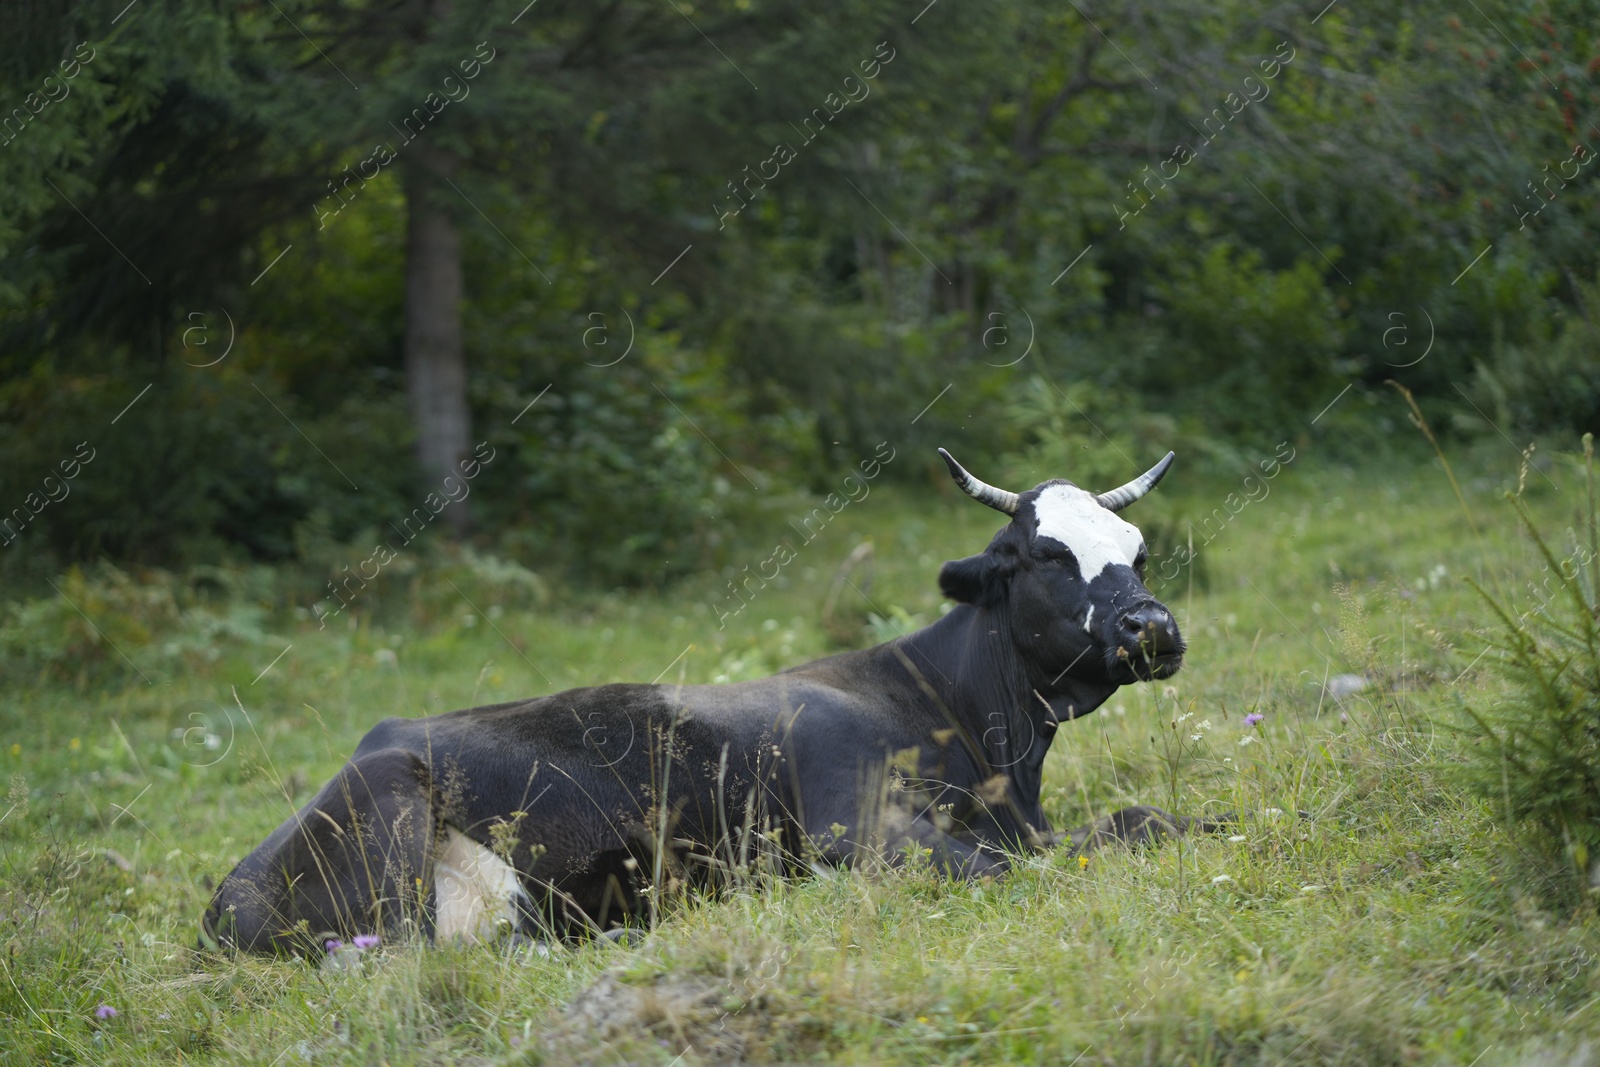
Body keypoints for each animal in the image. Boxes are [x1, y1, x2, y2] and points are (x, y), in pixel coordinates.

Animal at [206, 447, 1216, 953]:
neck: (980, 735)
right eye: (1046, 553)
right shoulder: (857, 827)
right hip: (393, 817)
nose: (1152, 625)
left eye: (1138, 547)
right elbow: (1011, 868)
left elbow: (1146, 820)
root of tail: (227, 894)